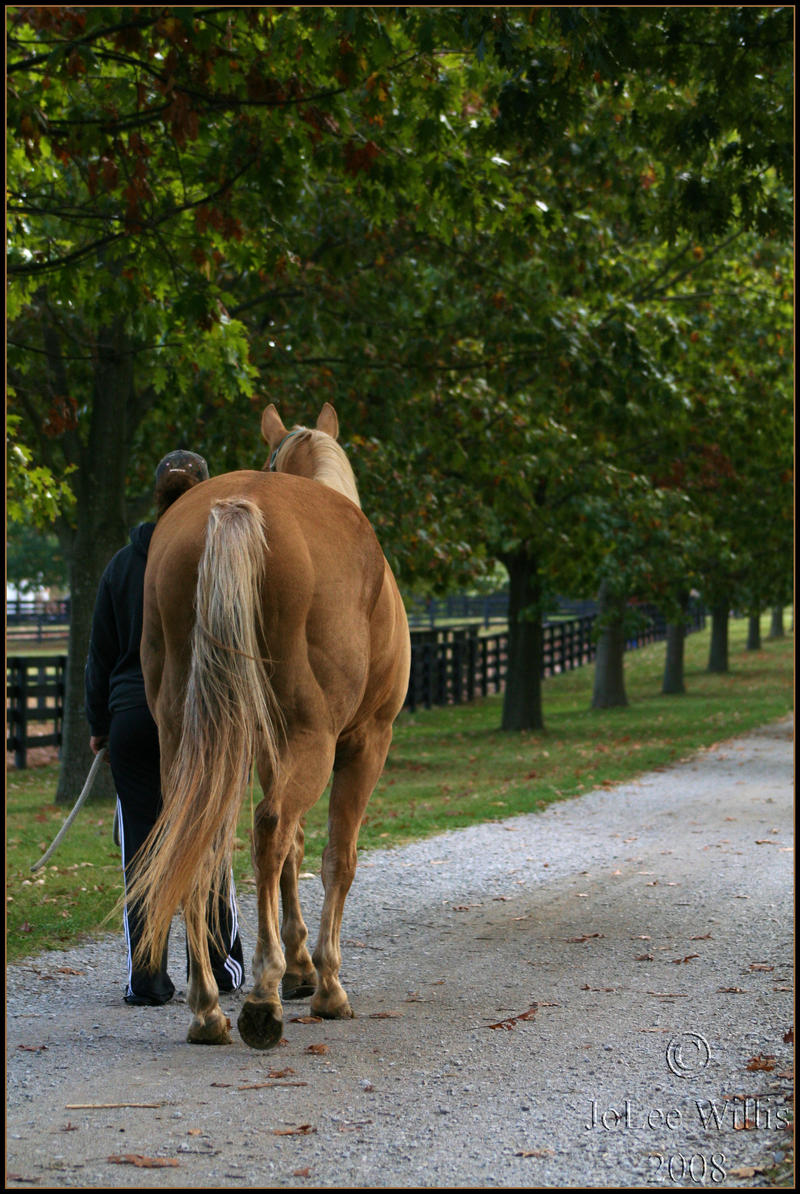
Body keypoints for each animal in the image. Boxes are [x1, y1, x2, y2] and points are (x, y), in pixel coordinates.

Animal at [132, 401, 410, 1045]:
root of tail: (239, 506)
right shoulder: (364, 742)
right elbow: (335, 855)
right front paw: (323, 982)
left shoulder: (266, 749)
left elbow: (294, 852)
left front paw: (300, 967)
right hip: (315, 738)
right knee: (268, 830)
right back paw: (261, 998)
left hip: (187, 738)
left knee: (204, 840)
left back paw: (209, 1008)